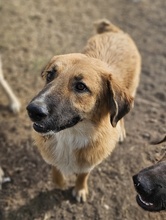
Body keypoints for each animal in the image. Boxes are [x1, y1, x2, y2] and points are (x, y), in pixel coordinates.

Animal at [26, 19, 141, 202]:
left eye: (81, 87)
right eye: (50, 75)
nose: (33, 110)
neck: (69, 136)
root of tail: (117, 32)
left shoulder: (90, 160)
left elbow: (83, 174)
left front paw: (80, 188)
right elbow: (56, 169)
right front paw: (60, 181)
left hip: (131, 90)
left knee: (121, 116)